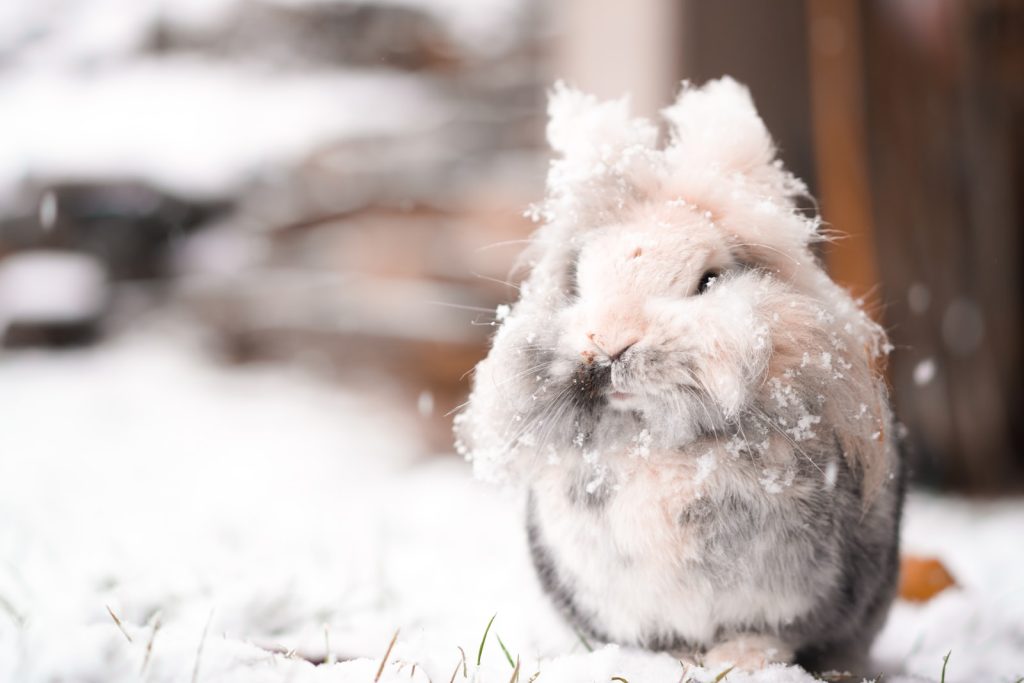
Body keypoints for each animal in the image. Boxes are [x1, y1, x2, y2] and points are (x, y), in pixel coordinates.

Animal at [454, 77, 904, 672]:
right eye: (576, 282)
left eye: (708, 281)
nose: (609, 343)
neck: (655, 444)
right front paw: (677, 663)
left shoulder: (790, 599)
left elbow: (769, 633)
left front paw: (741, 662)